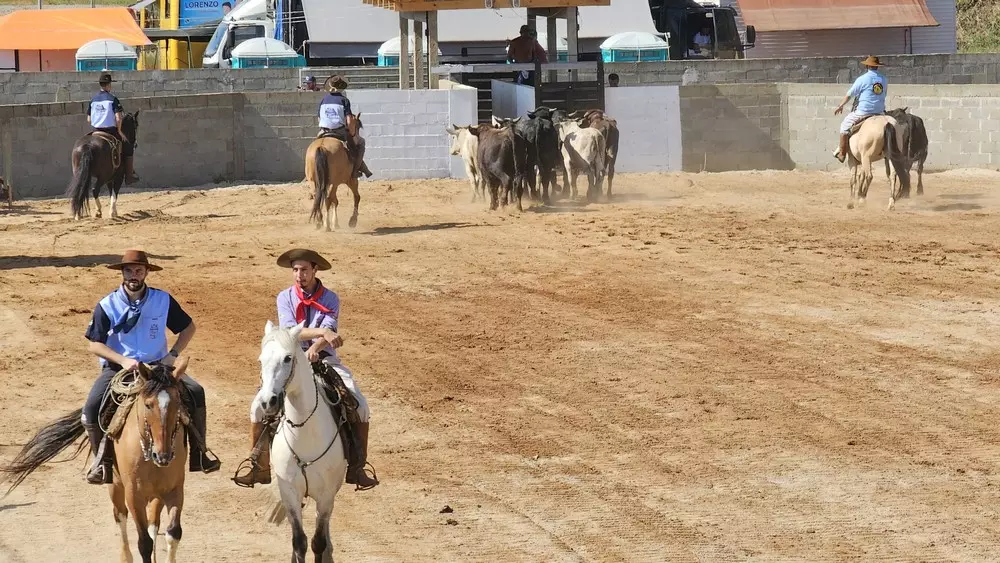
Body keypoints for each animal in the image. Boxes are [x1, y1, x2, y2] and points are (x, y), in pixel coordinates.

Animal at [0, 360, 193, 560]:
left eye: (177, 403)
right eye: (148, 405)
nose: (163, 456)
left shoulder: (174, 491)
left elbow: (173, 533)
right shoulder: (134, 496)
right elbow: (144, 543)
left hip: (156, 494)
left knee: (153, 524)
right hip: (115, 486)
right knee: (120, 516)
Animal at [254, 322, 348, 563]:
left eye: (288, 358)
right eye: (261, 359)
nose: (268, 402)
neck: (305, 433)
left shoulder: (326, 495)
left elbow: (318, 541)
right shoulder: (289, 492)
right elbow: (299, 541)